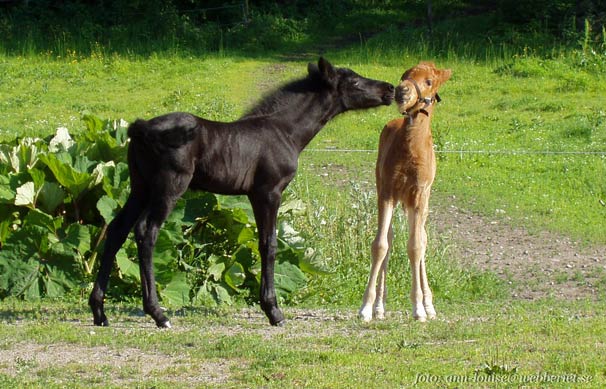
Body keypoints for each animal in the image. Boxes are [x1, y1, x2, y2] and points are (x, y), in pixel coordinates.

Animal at [89, 56, 394, 324]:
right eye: (354, 81)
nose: (389, 89)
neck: (284, 130)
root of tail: (140, 128)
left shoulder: (256, 195)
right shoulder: (268, 193)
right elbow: (269, 244)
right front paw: (273, 311)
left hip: (140, 188)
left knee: (117, 229)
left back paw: (100, 312)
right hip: (168, 188)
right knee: (146, 231)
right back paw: (158, 314)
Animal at [360, 61, 452, 322]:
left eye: (429, 81)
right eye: (405, 75)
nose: (402, 91)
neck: (411, 151)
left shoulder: (419, 195)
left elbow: (416, 246)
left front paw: (419, 308)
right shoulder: (387, 192)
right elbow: (381, 245)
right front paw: (367, 307)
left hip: (420, 202)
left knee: (422, 239)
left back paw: (428, 305)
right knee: (391, 239)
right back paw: (380, 307)